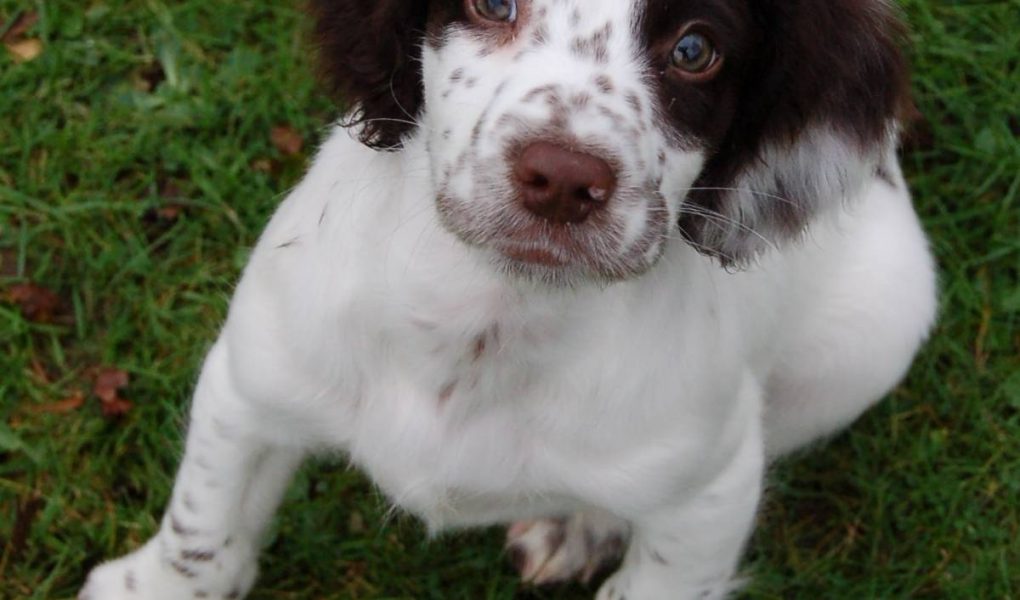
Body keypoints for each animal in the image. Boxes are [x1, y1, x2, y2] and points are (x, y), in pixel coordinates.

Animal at [81, 1, 938, 600]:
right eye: (494, 4)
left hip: (872, 339)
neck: (491, 312)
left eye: (695, 50)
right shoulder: (252, 377)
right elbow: (203, 522)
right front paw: (150, 586)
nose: (562, 178)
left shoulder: (716, 487)